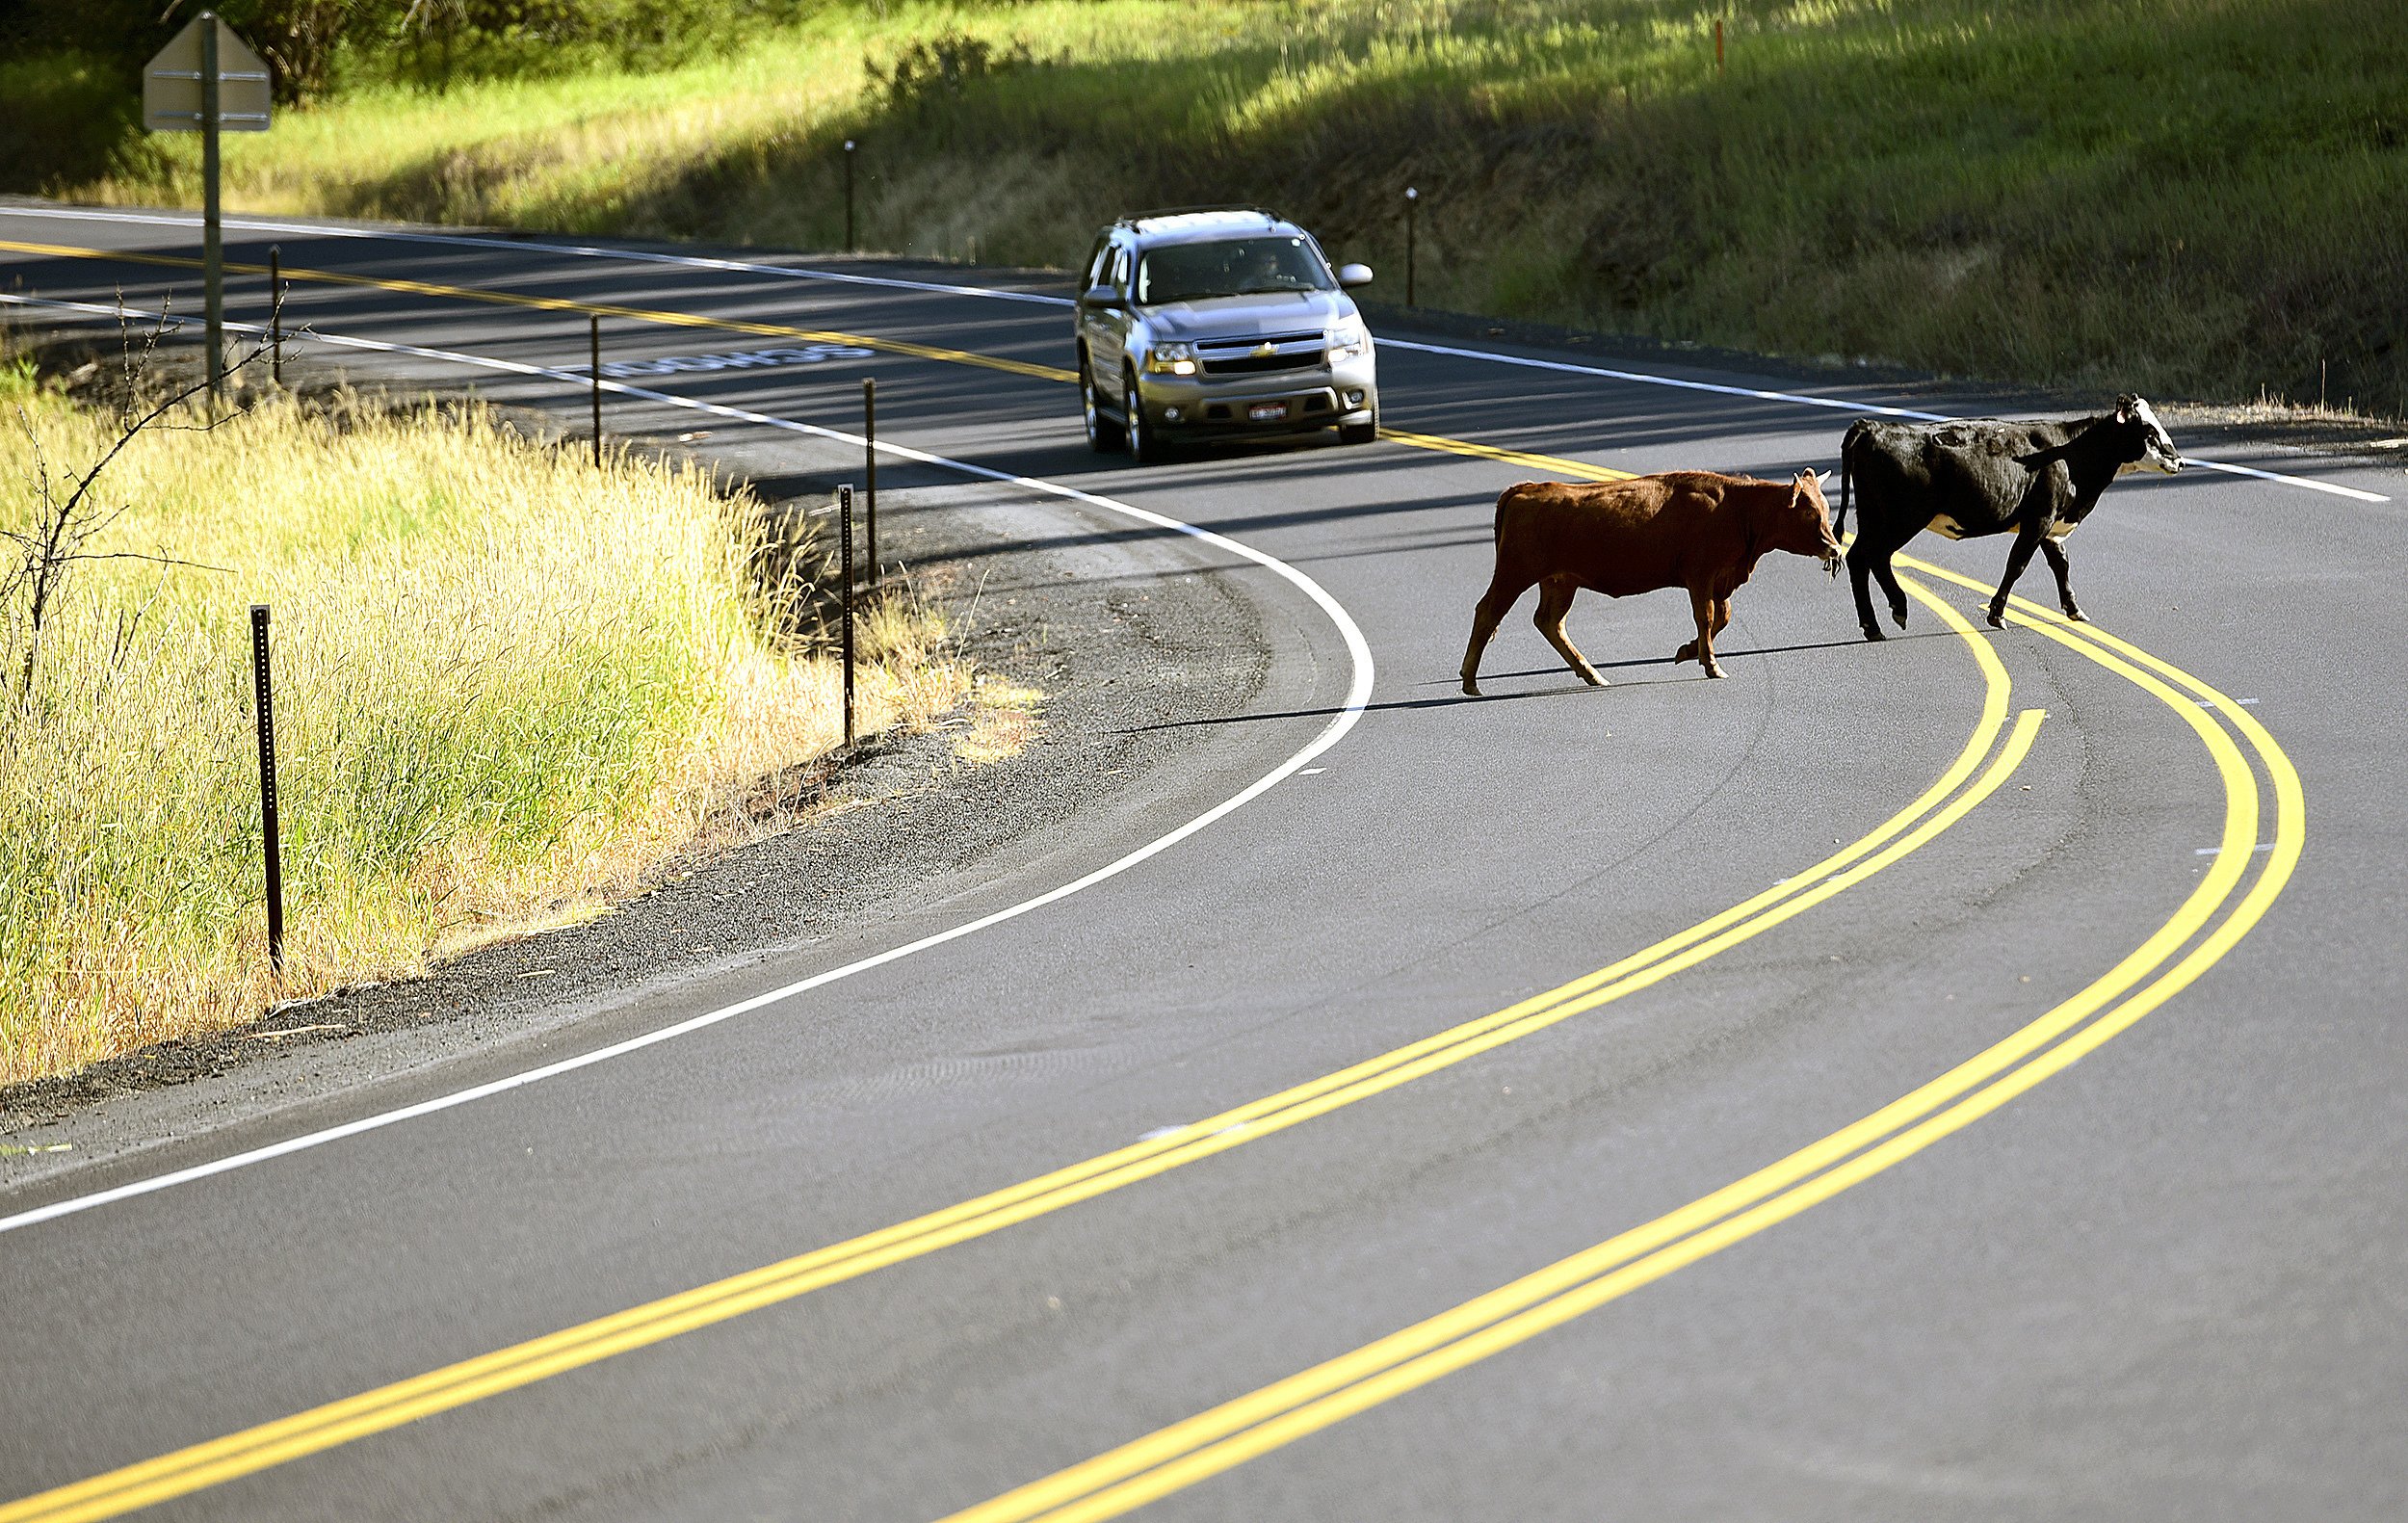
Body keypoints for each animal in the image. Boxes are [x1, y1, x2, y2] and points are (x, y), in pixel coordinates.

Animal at [1454, 469, 1830, 694]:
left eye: (1825, 507)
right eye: (1809, 511)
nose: (1833, 546)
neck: (1736, 507)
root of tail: (1527, 489)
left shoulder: (1719, 580)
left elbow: (1721, 617)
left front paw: (1686, 652)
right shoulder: (1701, 576)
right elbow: (1707, 617)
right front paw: (1711, 665)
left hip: (1560, 582)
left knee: (1549, 622)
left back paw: (1593, 675)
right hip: (1514, 574)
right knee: (1488, 612)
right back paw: (1470, 682)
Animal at [1840, 395, 2186, 641]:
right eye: (2148, 431)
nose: (2179, 461)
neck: (2069, 454)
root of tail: (1874, 427)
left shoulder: (2051, 527)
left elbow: (2061, 565)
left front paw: (2074, 609)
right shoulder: (2039, 520)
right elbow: (2017, 564)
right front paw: (1997, 614)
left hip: (1873, 517)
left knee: (1859, 559)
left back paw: (1873, 626)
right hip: (1901, 519)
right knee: (1875, 557)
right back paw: (1897, 609)